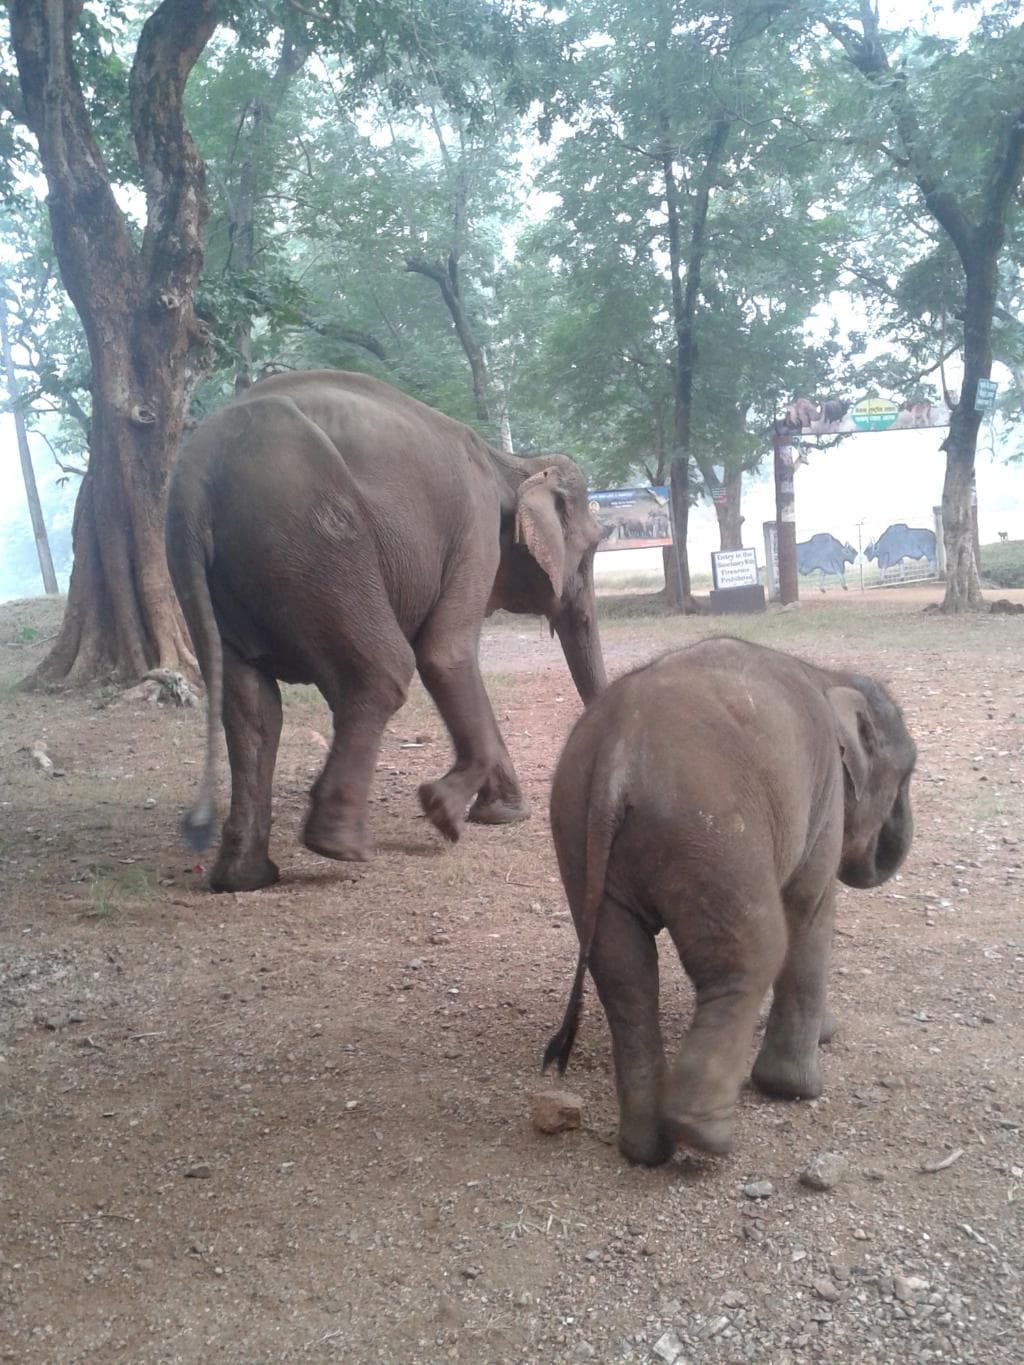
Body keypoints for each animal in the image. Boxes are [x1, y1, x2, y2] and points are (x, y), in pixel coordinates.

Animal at [166, 369, 607, 893]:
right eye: (595, 548)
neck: (516, 463)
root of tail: (195, 477)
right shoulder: (475, 529)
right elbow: (444, 654)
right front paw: (443, 812)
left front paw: (500, 815)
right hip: (313, 536)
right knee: (384, 670)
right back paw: (340, 847)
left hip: (230, 574)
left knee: (251, 704)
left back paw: (245, 878)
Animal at [543, 637, 916, 1165]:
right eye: (907, 773)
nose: (885, 850)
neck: (829, 675)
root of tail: (618, 750)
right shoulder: (823, 804)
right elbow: (809, 909)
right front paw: (798, 1088)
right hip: (712, 834)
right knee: (754, 954)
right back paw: (707, 1137)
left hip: (579, 830)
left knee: (624, 974)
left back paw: (645, 1150)